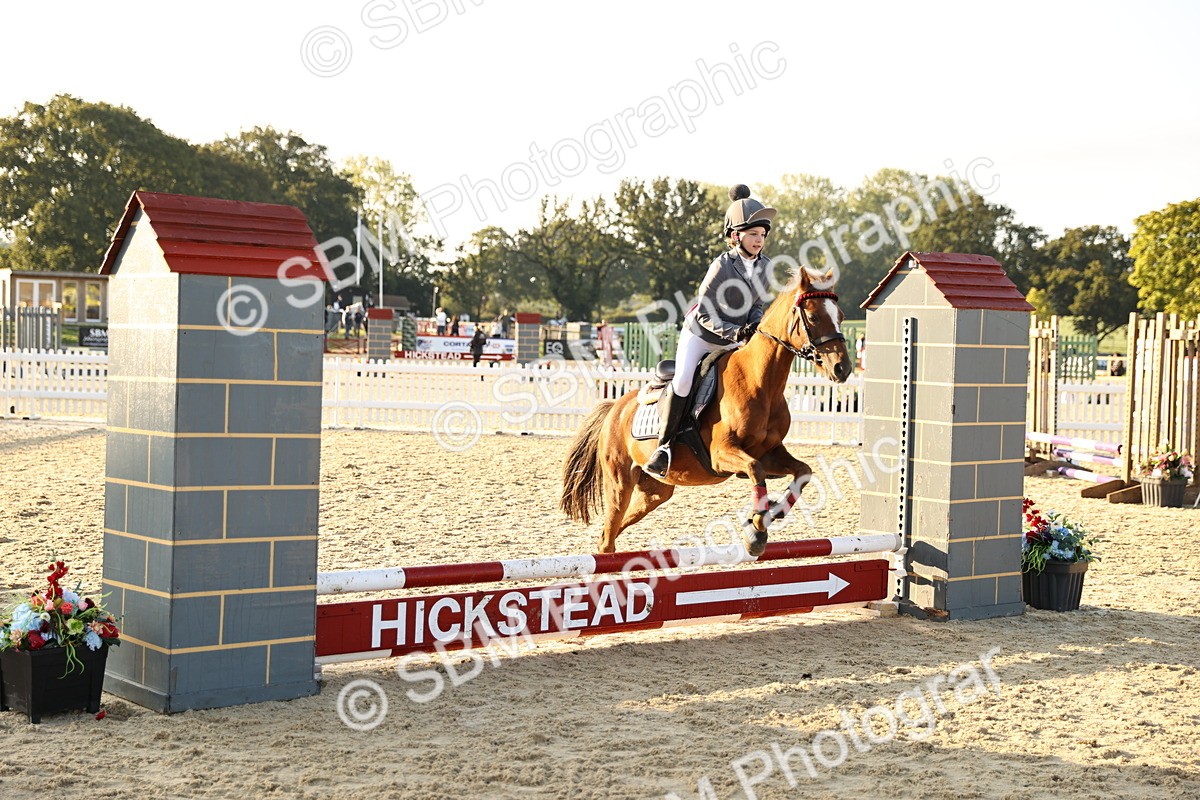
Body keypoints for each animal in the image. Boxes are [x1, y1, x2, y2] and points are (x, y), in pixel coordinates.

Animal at [560, 267, 853, 556]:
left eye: (840, 316)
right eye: (813, 317)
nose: (843, 369)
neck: (761, 383)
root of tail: (615, 408)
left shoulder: (770, 452)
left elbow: (803, 472)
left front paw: (773, 510)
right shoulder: (721, 454)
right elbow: (756, 470)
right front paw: (756, 529)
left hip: (655, 491)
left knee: (613, 531)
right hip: (620, 482)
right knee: (609, 533)